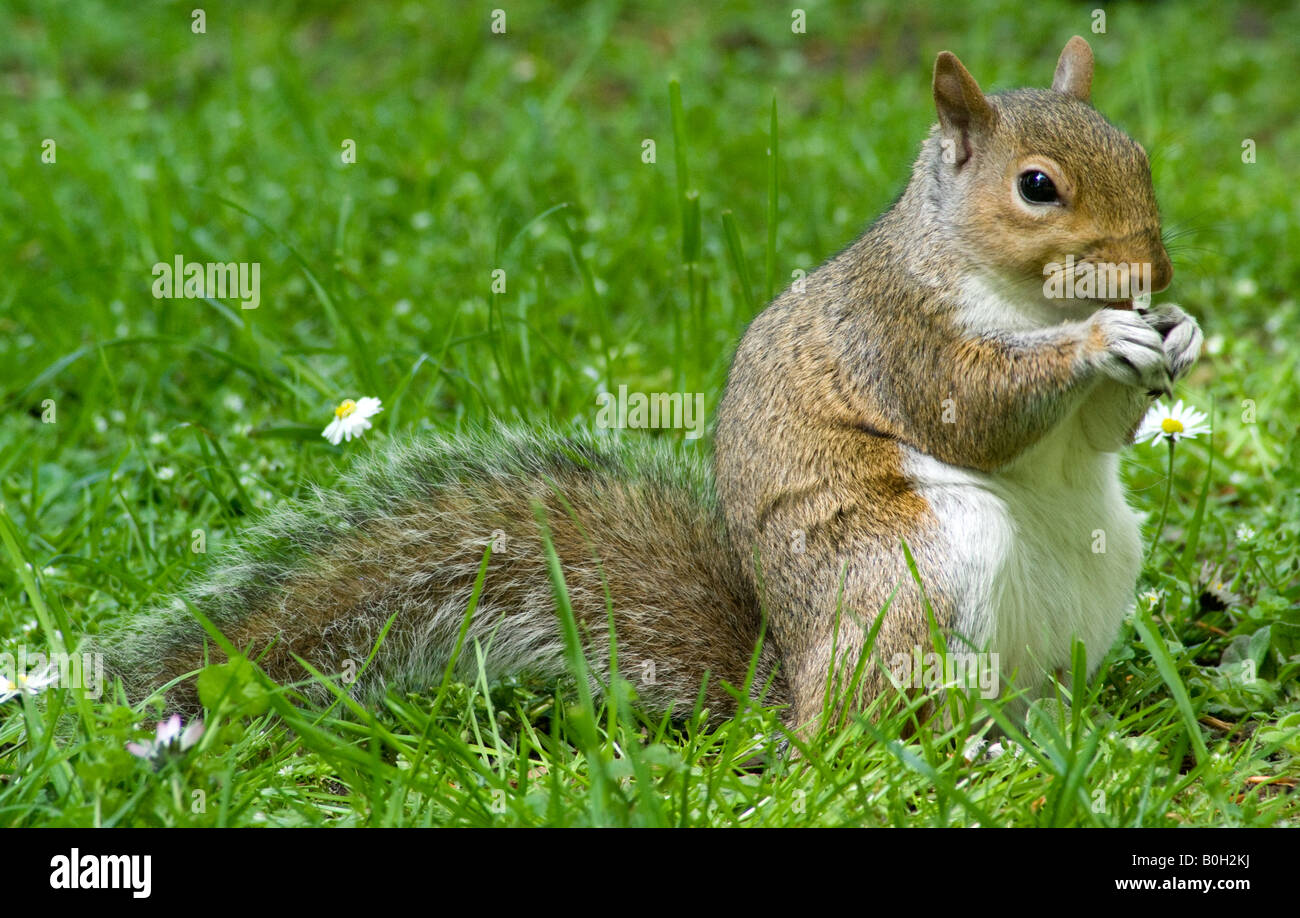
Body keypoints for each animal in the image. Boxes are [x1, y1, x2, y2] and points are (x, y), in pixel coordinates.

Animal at [91, 36, 1201, 734]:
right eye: (1036, 187)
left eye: (1143, 153)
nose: (1151, 273)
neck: (1013, 291)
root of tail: (787, 696)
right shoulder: (897, 333)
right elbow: (975, 411)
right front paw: (1099, 338)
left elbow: (1096, 438)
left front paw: (1177, 335)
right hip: (907, 570)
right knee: (869, 727)